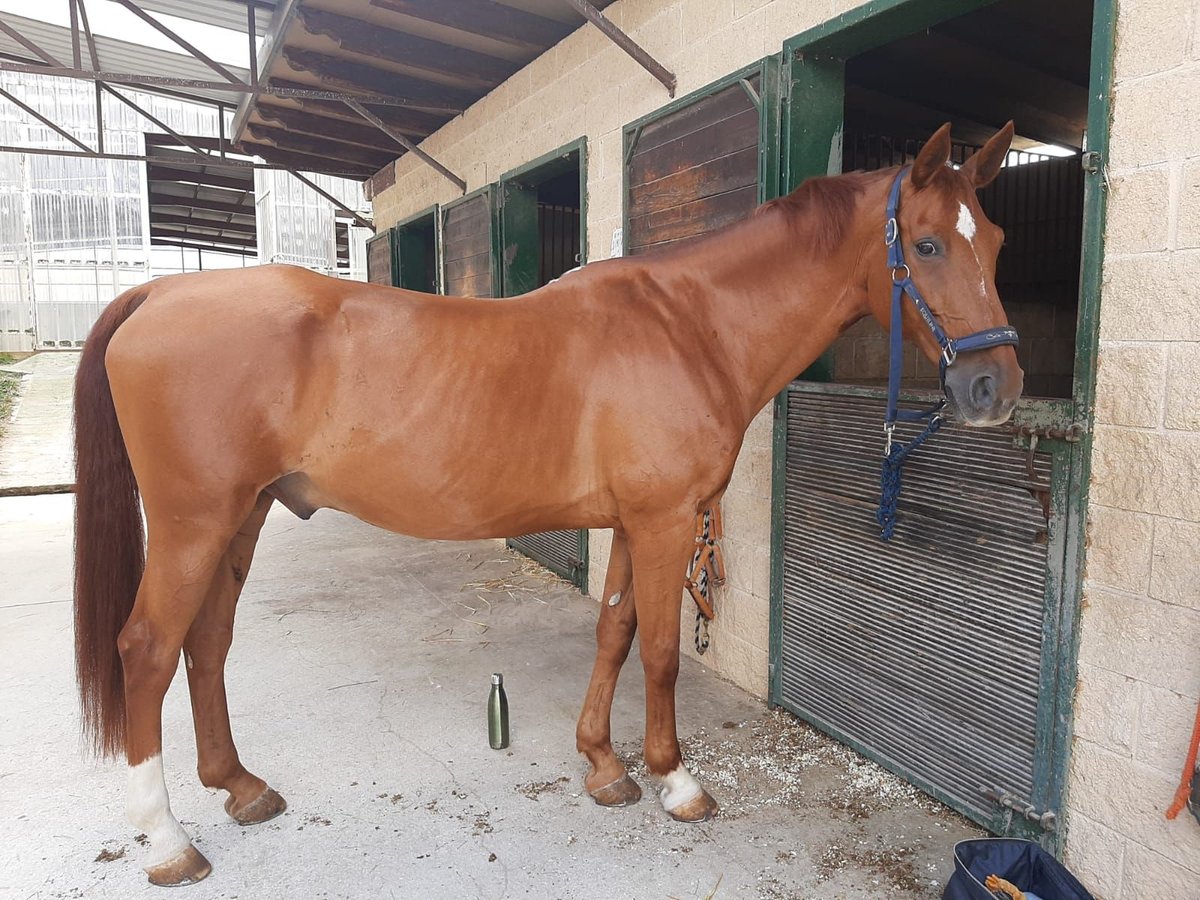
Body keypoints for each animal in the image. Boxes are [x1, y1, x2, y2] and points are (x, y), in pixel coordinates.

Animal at [70, 121, 1017, 888]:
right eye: (927, 245)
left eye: (998, 241)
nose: (995, 388)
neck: (690, 327)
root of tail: (158, 291)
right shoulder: (666, 522)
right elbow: (662, 651)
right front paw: (676, 781)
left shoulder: (635, 523)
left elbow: (615, 630)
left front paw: (603, 766)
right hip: (194, 522)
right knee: (147, 649)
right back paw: (168, 841)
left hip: (243, 516)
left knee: (206, 644)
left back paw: (241, 788)